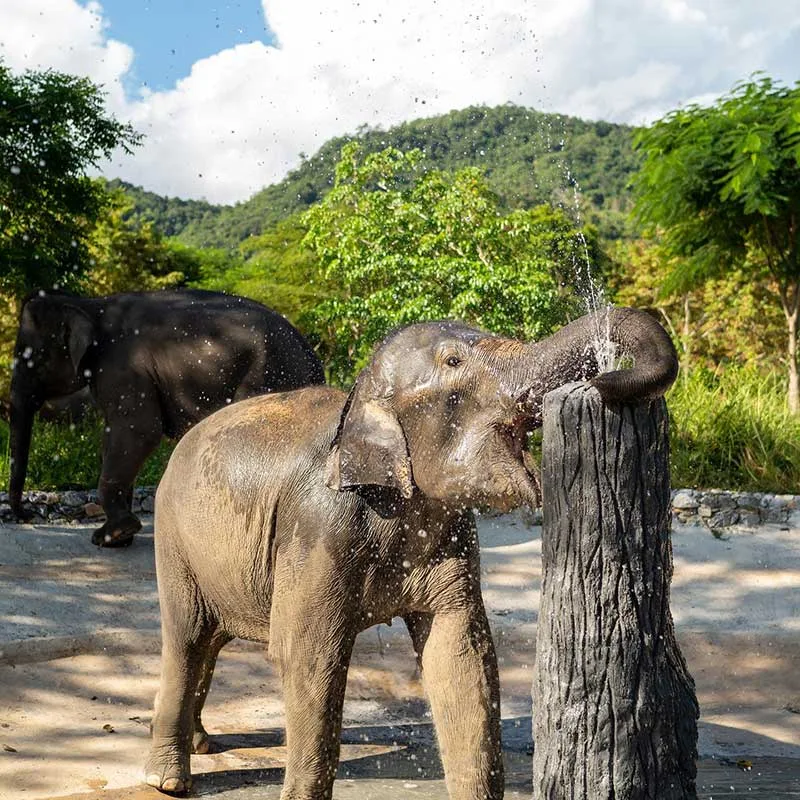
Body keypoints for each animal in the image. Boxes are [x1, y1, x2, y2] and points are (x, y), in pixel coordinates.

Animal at [8, 289, 325, 547]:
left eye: (29, 357)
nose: (25, 515)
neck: (88, 304)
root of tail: (310, 355)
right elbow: (114, 437)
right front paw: (117, 537)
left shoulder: (122, 368)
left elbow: (140, 431)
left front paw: (114, 535)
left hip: (267, 380)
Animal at [144, 306, 677, 798]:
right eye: (454, 361)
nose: (603, 378)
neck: (359, 405)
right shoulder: (319, 525)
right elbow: (308, 653)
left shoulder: (453, 534)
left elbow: (459, 653)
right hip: (173, 536)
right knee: (187, 635)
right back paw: (167, 780)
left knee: (210, 641)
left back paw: (201, 745)